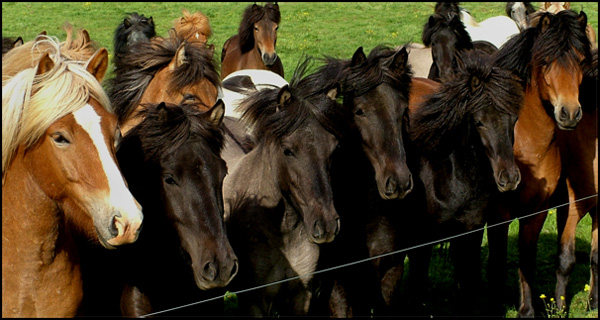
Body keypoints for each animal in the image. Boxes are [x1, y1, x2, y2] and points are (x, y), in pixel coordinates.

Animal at [490, 10, 592, 318]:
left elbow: (527, 259)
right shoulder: (499, 213)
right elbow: (498, 260)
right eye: (546, 61)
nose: (569, 113)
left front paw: (527, 310)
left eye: (581, 60)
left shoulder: (536, 211)